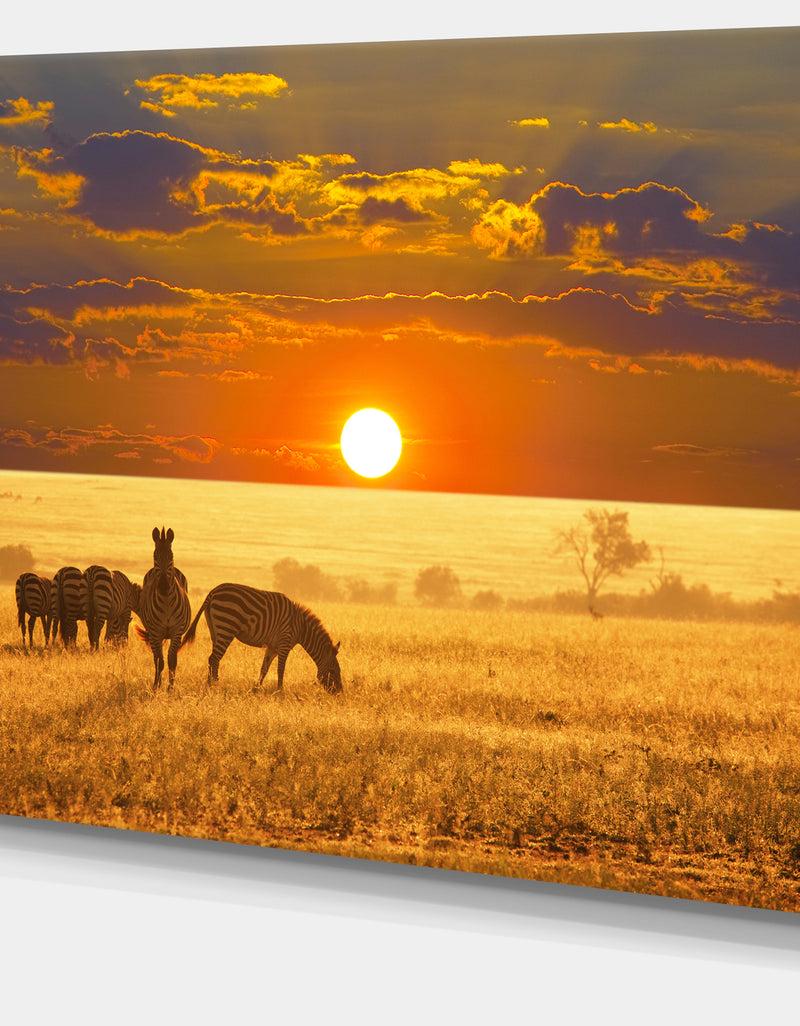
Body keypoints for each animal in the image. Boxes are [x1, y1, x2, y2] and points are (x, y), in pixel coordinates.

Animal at [138, 527, 191, 690]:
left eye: (171, 556)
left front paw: (170, 689)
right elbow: (160, 661)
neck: (167, 601)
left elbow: (172, 660)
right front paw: (156, 687)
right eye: (155, 556)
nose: (163, 586)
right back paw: (157, 682)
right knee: (156, 658)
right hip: (154, 634)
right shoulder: (155, 632)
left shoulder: (177, 632)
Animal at [180, 583, 342, 693]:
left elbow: (264, 668)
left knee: (214, 659)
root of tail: (213, 592)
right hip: (226, 626)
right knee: (214, 658)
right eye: (334, 671)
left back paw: (212, 684)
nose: (340, 692)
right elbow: (280, 669)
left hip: (215, 630)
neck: (301, 628)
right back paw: (214, 685)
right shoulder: (284, 643)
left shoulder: (273, 647)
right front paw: (280, 692)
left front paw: (256, 689)